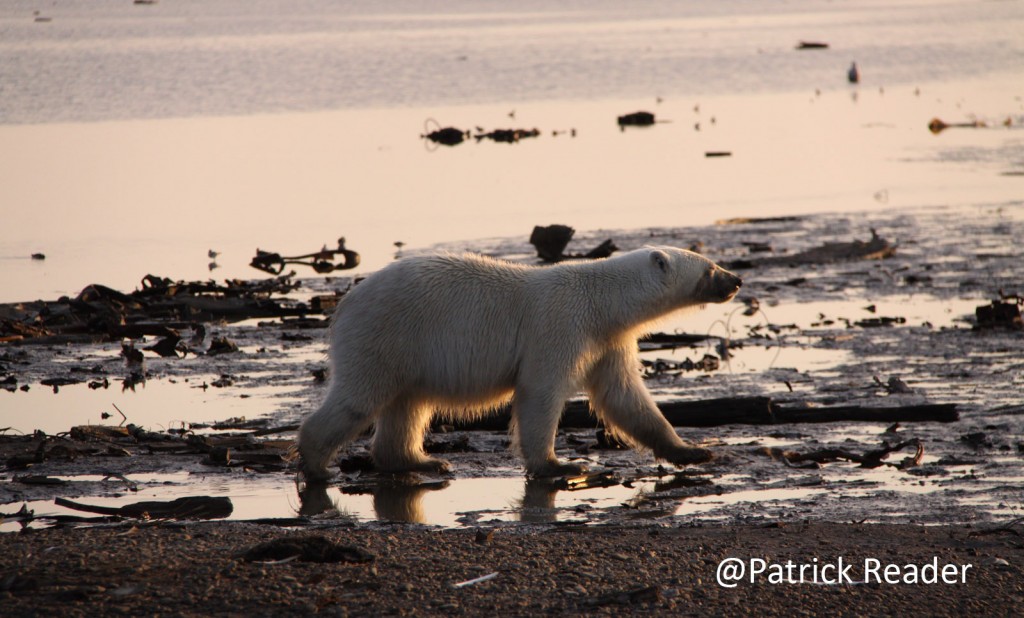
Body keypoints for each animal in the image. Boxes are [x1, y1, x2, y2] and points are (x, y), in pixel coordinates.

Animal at [297, 246, 742, 480]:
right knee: (360, 396)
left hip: (407, 353)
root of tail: (345, 304)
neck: (602, 301)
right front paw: (559, 465)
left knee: (408, 405)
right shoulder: (561, 325)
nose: (736, 280)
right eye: (709, 268)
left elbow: (625, 398)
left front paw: (693, 451)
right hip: (386, 333)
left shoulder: (607, 340)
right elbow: (541, 392)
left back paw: (424, 460)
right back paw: (317, 463)